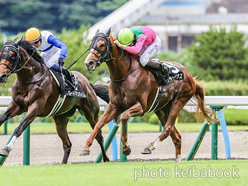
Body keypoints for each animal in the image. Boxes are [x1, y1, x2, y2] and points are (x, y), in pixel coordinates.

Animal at [81, 28, 217, 163]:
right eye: (89, 45)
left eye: (101, 45)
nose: (88, 63)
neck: (125, 75)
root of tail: (190, 77)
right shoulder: (114, 106)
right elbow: (99, 124)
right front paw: (86, 147)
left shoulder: (141, 107)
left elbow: (124, 117)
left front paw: (126, 148)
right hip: (161, 109)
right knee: (176, 135)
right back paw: (177, 160)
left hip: (179, 100)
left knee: (168, 128)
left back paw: (149, 147)